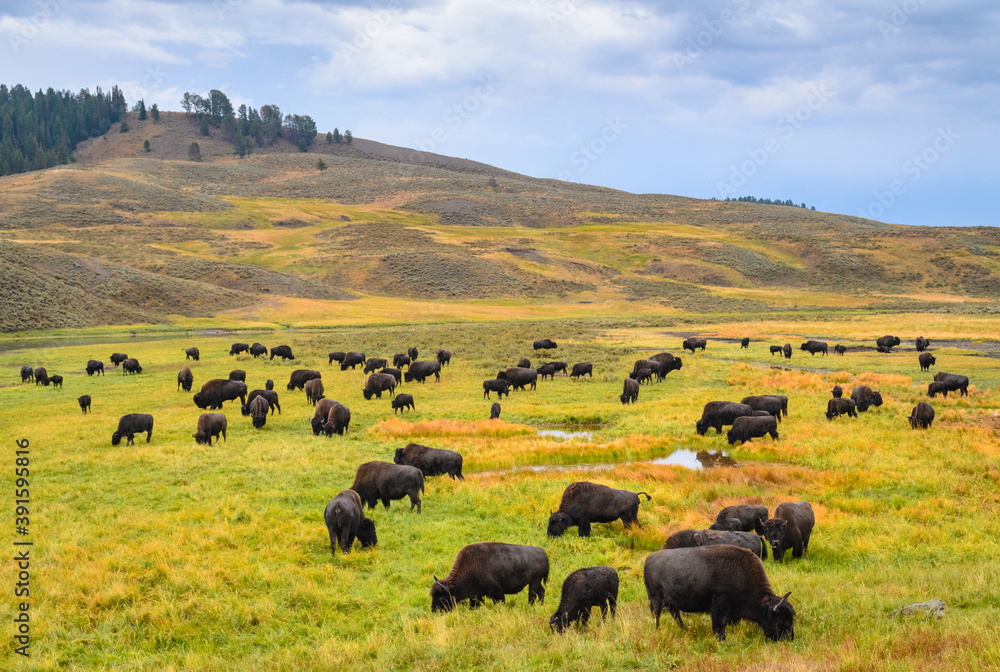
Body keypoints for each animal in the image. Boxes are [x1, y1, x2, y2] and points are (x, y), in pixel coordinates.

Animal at [640, 544, 796, 640]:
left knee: (675, 614)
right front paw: (721, 639)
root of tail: (649, 559)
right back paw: (658, 630)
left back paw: (685, 630)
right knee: (657, 614)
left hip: (671, 601)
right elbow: (719, 623)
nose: (789, 638)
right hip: (655, 598)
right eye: (780, 620)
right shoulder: (720, 601)